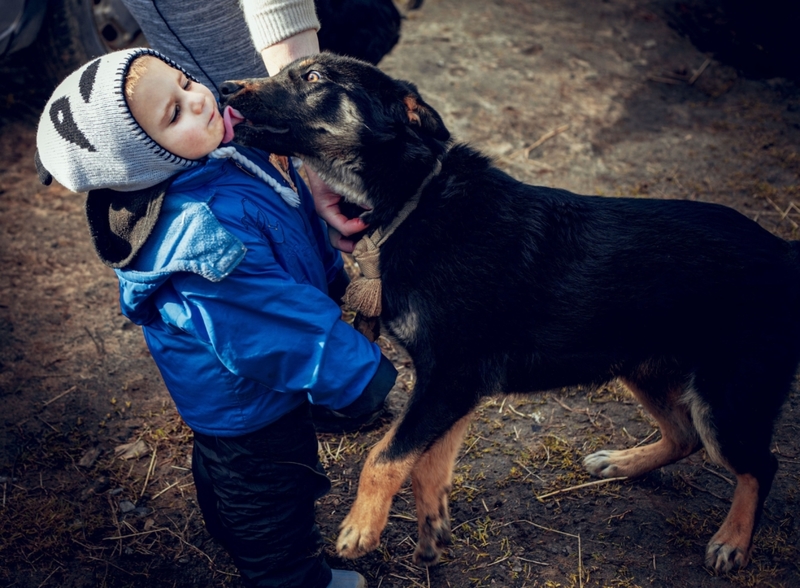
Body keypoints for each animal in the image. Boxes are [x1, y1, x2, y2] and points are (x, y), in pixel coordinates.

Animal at [220, 52, 800, 572]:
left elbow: (384, 457)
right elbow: (426, 461)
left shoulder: (451, 378)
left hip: (727, 396)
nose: (223, 88)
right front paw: (432, 527)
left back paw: (732, 541)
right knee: (684, 436)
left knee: (758, 464)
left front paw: (361, 528)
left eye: (314, 77)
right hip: (644, 368)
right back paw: (622, 463)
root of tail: (782, 250)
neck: (418, 199)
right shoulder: (453, 387)